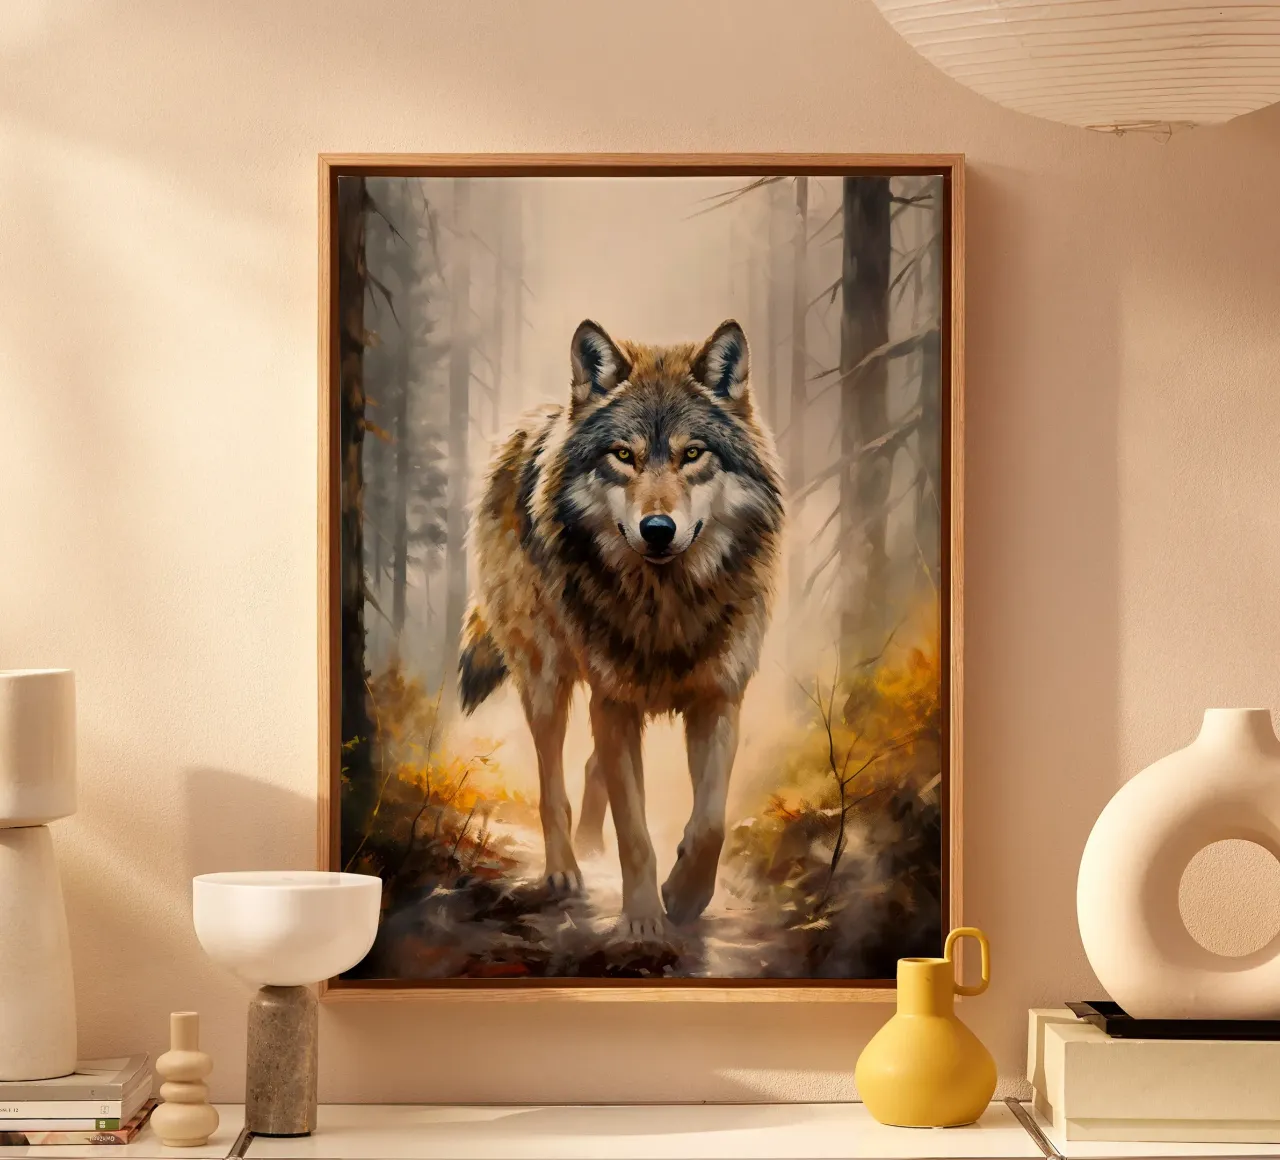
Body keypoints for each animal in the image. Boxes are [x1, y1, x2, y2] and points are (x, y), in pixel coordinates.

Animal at [457, 318, 784, 939]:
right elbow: (634, 831)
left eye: (692, 454)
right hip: (547, 679)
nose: (657, 528)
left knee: (592, 768)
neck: (666, 605)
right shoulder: (613, 701)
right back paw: (565, 869)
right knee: (553, 785)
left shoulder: (718, 697)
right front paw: (643, 921)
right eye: (623, 455)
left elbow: (710, 824)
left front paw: (683, 896)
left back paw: (591, 846)